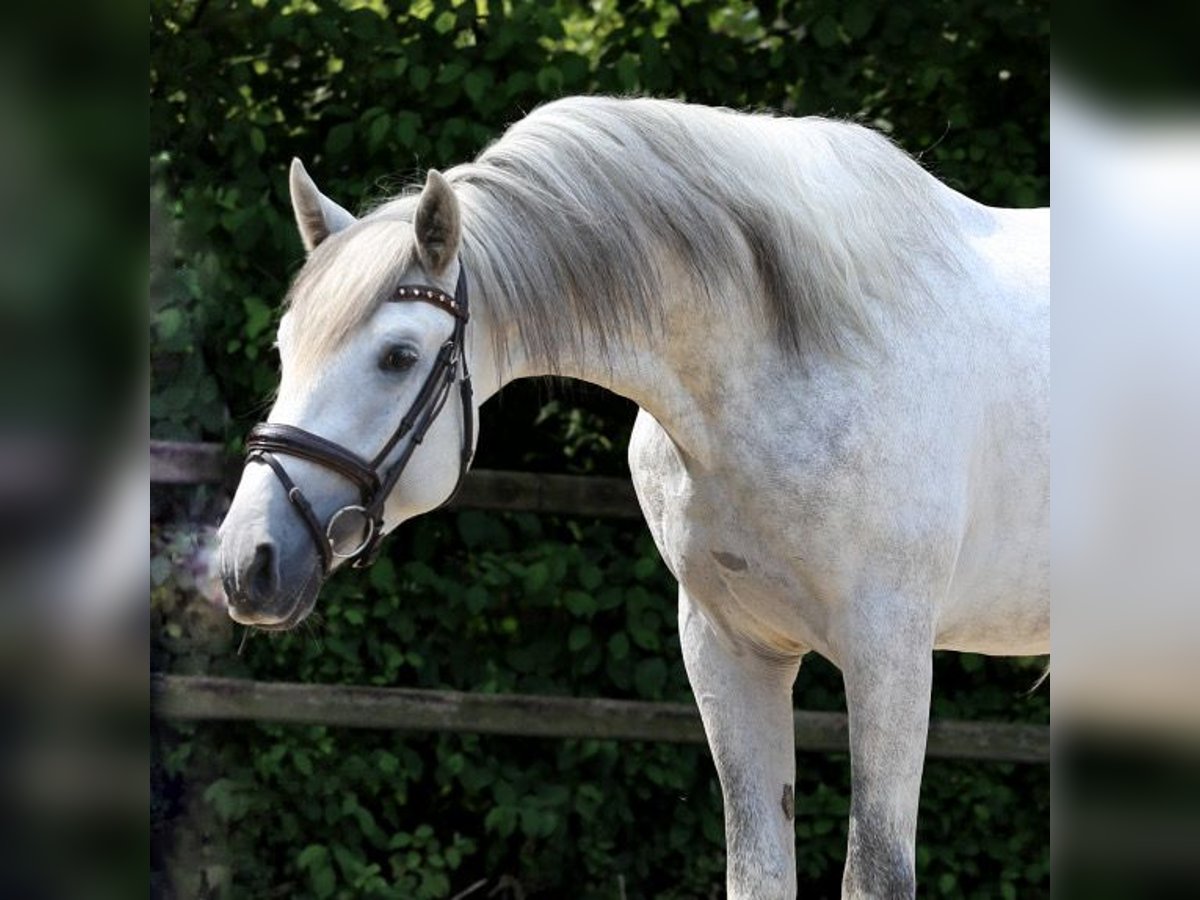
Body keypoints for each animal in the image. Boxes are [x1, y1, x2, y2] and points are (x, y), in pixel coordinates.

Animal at [220, 95, 1046, 897]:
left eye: (398, 356)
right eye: (284, 348)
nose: (246, 562)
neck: (797, 357)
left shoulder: (890, 656)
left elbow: (875, 873)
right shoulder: (729, 651)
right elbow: (757, 870)